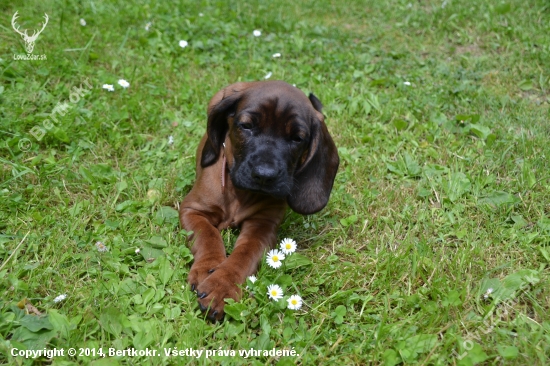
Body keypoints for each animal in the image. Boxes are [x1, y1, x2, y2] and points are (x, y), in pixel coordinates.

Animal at [181, 81, 338, 320]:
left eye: (297, 138)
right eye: (246, 126)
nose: (265, 175)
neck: (239, 192)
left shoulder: (263, 225)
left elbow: (244, 255)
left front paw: (221, 285)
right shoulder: (192, 209)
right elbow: (207, 235)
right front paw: (206, 269)